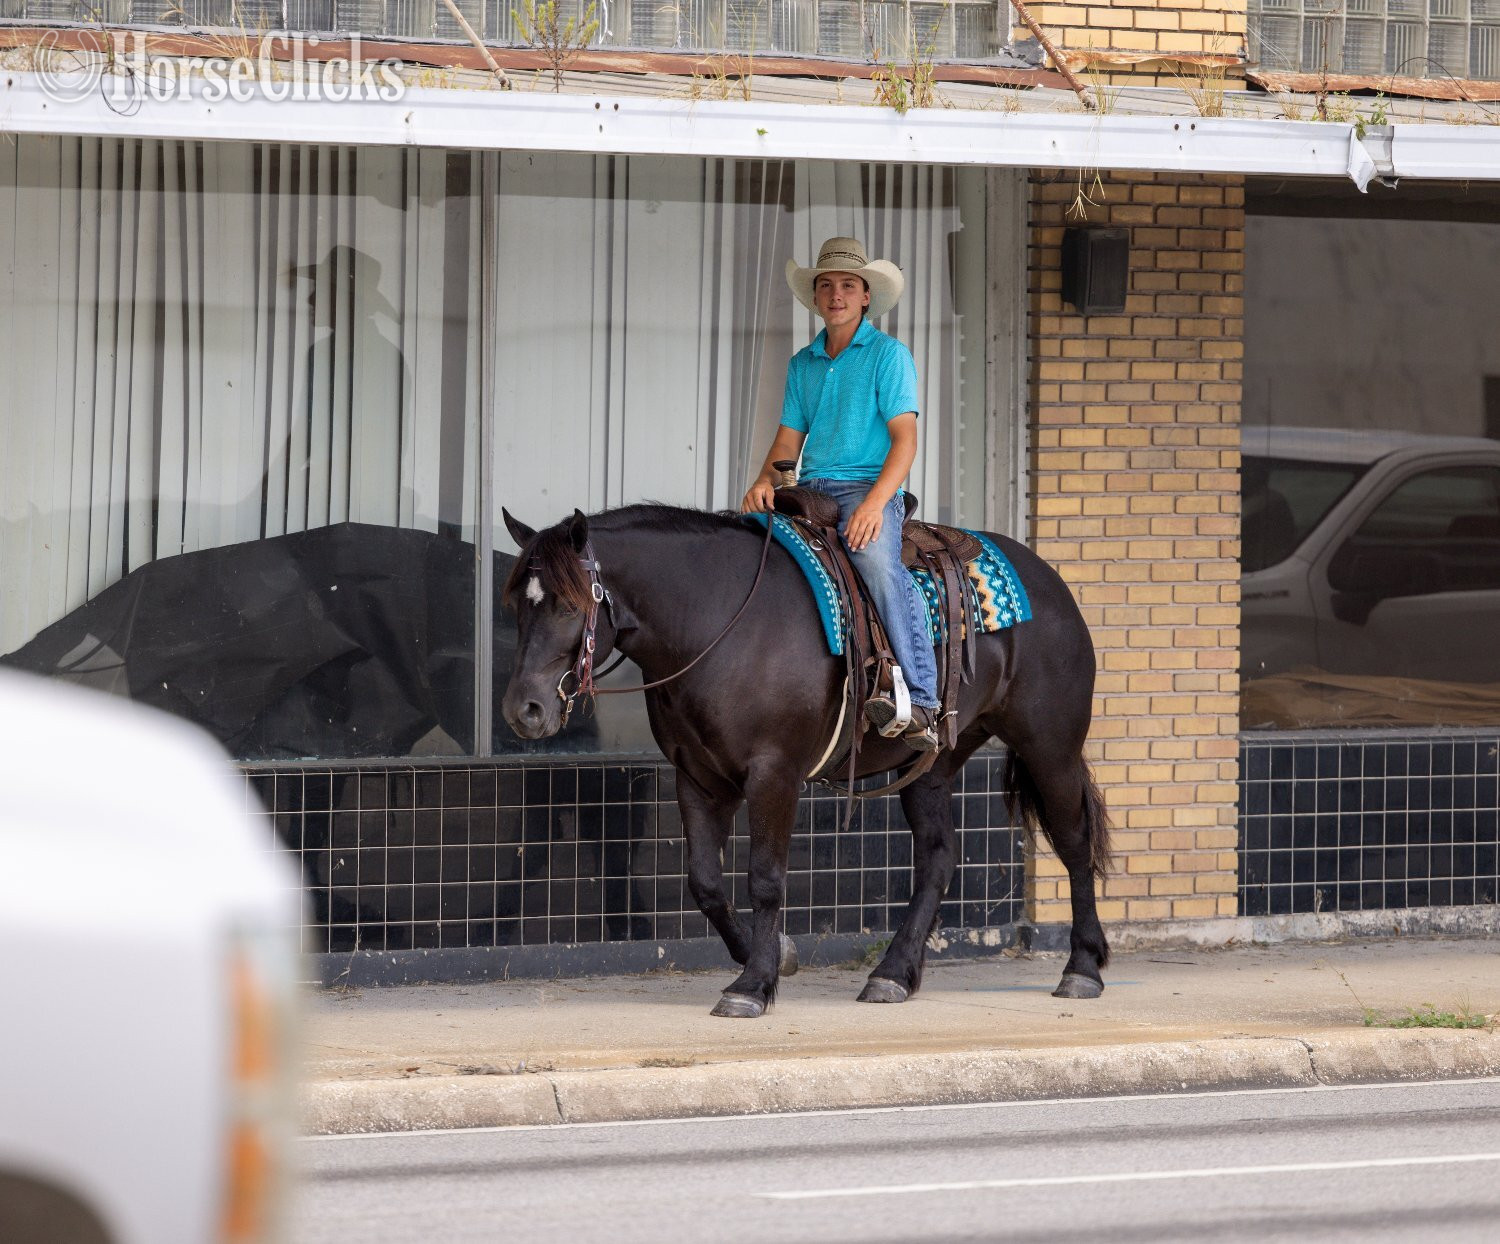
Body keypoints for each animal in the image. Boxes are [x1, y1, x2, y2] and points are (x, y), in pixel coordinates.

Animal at [500, 503, 1111, 1018]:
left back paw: (1082, 967)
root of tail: (1049, 580)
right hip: (932, 765)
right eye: (516, 608)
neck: (716, 621)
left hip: (1050, 747)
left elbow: (766, 879)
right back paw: (893, 974)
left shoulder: (774, 773)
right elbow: (705, 883)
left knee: (1075, 842)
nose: (523, 710)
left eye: (569, 605)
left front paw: (753, 984)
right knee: (938, 859)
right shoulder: (697, 776)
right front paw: (774, 956)